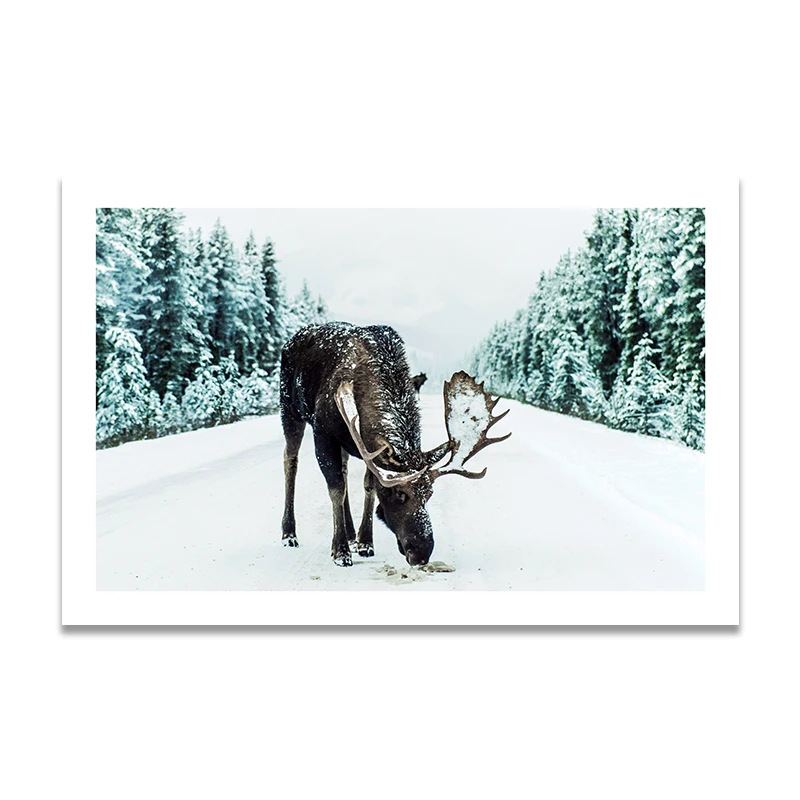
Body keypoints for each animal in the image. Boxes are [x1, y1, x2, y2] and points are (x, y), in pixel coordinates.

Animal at [279, 321, 510, 567]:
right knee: (290, 460)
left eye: (429, 494)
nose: (422, 552)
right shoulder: (323, 432)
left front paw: (365, 542)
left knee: (343, 467)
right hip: (289, 409)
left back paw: (351, 533)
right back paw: (289, 534)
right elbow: (336, 488)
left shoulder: (367, 447)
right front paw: (340, 551)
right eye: (400, 494)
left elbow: (368, 486)